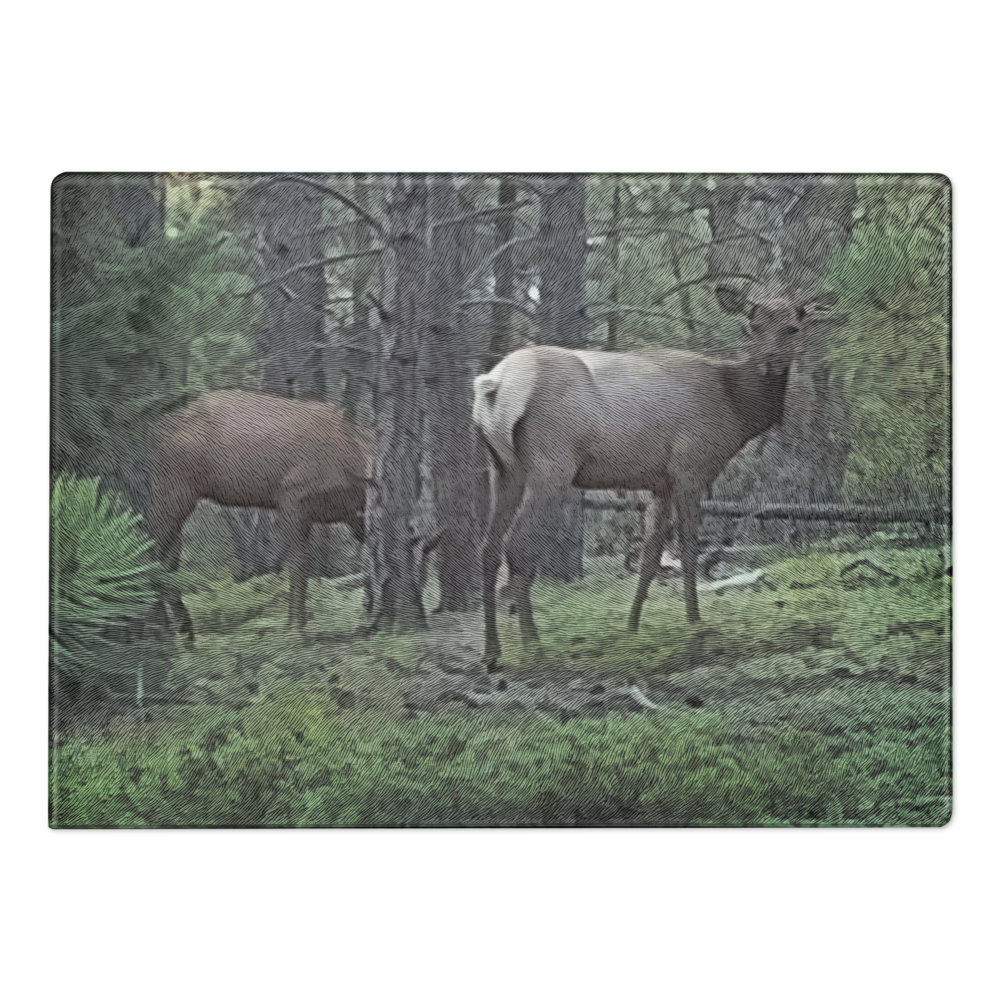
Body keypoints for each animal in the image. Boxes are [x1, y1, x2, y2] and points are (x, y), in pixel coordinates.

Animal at [147, 390, 371, 643]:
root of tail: (159, 428)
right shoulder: (291, 497)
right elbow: (298, 565)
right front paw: (296, 628)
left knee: (169, 554)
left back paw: (184, 629)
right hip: (175, 488)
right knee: (155, 549)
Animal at [473, 285, 841, 671]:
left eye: (793, 328)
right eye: (752, 326)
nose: (770, 363)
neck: (737, 411)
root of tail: (493, 385)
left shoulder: (658, 483)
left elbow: (650, 556)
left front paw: (632, 627)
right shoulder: (691, 467)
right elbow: (689, 550)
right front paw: (695, 624)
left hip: (502, 468)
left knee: (488, 547)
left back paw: (491, 650)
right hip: (552, 464)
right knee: (518, 546)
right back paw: (534, 646)